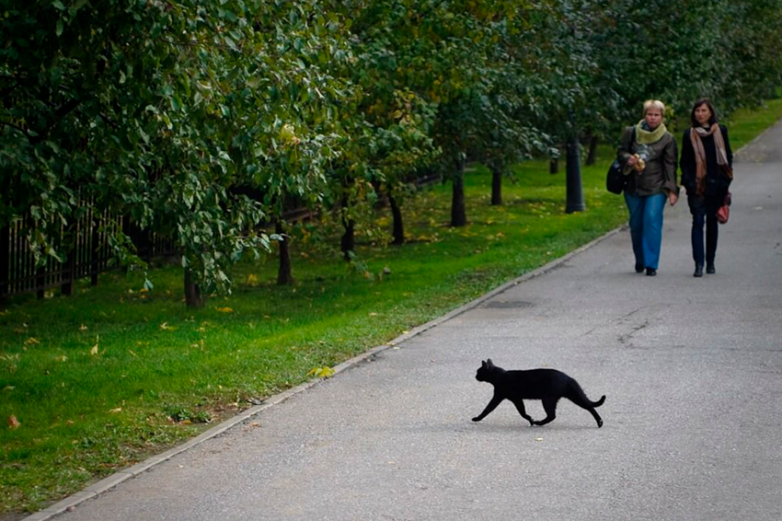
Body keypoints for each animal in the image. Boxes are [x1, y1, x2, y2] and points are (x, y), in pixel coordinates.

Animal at [472, 358, 608, 426]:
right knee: (589, 406)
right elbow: (521, 411)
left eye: (478, 371)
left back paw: (539, 423)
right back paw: (600, 422)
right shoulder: (513, 398)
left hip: (548, 399)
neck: (499, 376)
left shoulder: (504, 397)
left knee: (552, 415)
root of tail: (567, 377)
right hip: (572, 395)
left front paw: (477, 418)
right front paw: (530, 419)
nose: (475, 376)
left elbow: (488, 408)